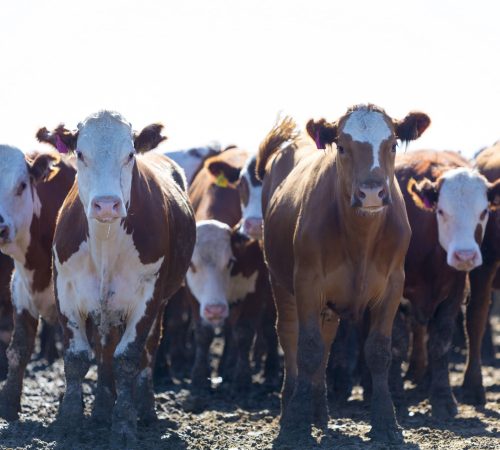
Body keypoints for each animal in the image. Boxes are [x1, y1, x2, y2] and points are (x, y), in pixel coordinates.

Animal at [38, 111, 195, 446]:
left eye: (130, 154)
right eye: (80, 154)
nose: (107, 204)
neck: (105, 242)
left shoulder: (148, 295)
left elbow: (127, 359)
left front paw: (123, 425)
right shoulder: (65, 289)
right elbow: (77, 358)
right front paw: (70, 423)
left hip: (159, 303)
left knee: (147, 351)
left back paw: (145, 410)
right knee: (103, 350)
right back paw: (100, 409)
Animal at [258, 106, 430, 442]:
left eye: (392, 145)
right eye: (341, 147)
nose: (371, 193)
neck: (360, 237)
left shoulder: (394, 285)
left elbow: (378, 350)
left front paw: (386, 422)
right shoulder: (306, 281)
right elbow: (308, 348)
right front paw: (296, 422)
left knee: (326, 340)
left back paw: (320, 411)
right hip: (279, 279)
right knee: (289, 334)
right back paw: (290, 405)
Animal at [390, 149, 500, 416]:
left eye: (484, 212)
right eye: (441, 211)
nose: (465, 256)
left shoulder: (454, 290)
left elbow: (440, 340)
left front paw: (442, 398)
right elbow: (397, 341)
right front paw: (395, 395)